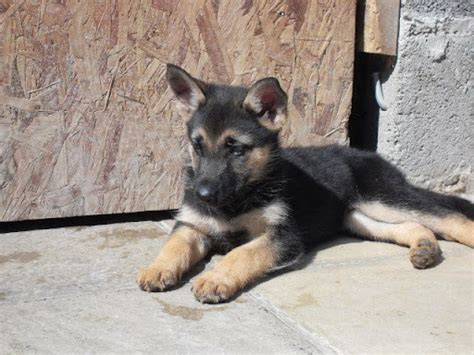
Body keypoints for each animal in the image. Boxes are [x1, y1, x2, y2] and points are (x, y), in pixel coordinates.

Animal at [136, 65, 470, 304]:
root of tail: (373, 156)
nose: (202, 194)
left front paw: (217, 278)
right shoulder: (193, 224)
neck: (239, 198)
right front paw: (157, 268)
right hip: (358, 218)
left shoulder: (286, 236)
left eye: (236, 149)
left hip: (383, 198)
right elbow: (174, 244)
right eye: (198, 145)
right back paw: (424, 247)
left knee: (451, 218)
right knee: (411, 226)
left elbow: (243, 253)